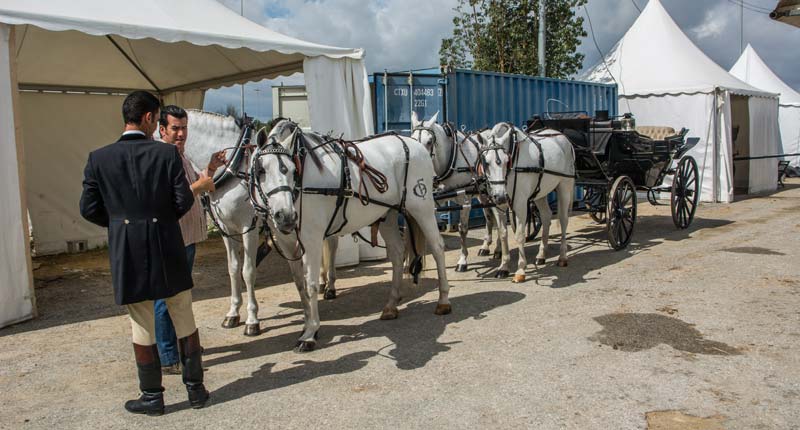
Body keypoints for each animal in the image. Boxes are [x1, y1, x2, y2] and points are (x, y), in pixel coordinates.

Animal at [252, 119, 450, 352]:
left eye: (292, 170)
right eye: (260, 170)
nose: (286, 216)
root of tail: (415, 143)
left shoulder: (312, 239)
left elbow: (311, 284)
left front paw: (310, 333)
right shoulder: (286, 243)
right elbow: (300, 286)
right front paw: (307, 326)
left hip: (422, 207)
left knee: (437, 247)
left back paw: (443, 301)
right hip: (388, 214)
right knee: (397, 253)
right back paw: (391, 305)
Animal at [410, 112, 510, 278]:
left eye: (429, 141)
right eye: (411, 139)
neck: (450, 159)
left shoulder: (465, 200)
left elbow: (462, 230)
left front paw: (463, 261)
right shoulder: (436, 201)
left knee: (500, 218)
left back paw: (498, 249)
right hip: (483, 194)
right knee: (489, 217)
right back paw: (486, 246)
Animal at [482, 122, 576, 282]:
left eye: (507, 161)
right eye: (486, 163)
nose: (500, 196)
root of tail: (563, 138)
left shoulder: (520, 203)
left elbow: (519, 235)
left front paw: (520, 270)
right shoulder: (498, 206)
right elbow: (503, 234)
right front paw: (503, 267)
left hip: (564, 186)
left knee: (563, 220)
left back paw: (562, 257)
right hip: (540, 193)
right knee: (546, 216)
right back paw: (541, 256)